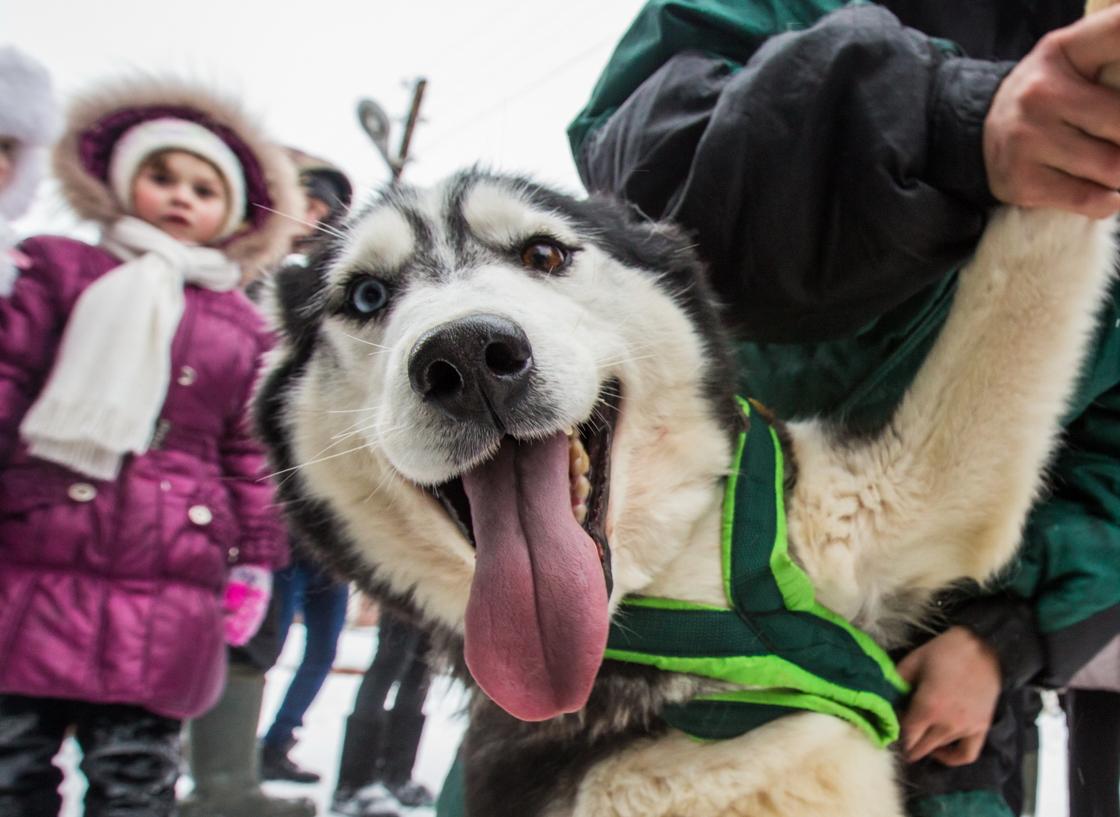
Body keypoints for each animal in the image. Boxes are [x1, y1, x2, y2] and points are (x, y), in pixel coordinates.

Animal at [256, 166, 1120, 815]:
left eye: (543, 253)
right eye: (367, 296)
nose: (467, 356)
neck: (698, 637)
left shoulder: (898, 502)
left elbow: (1034, 247)